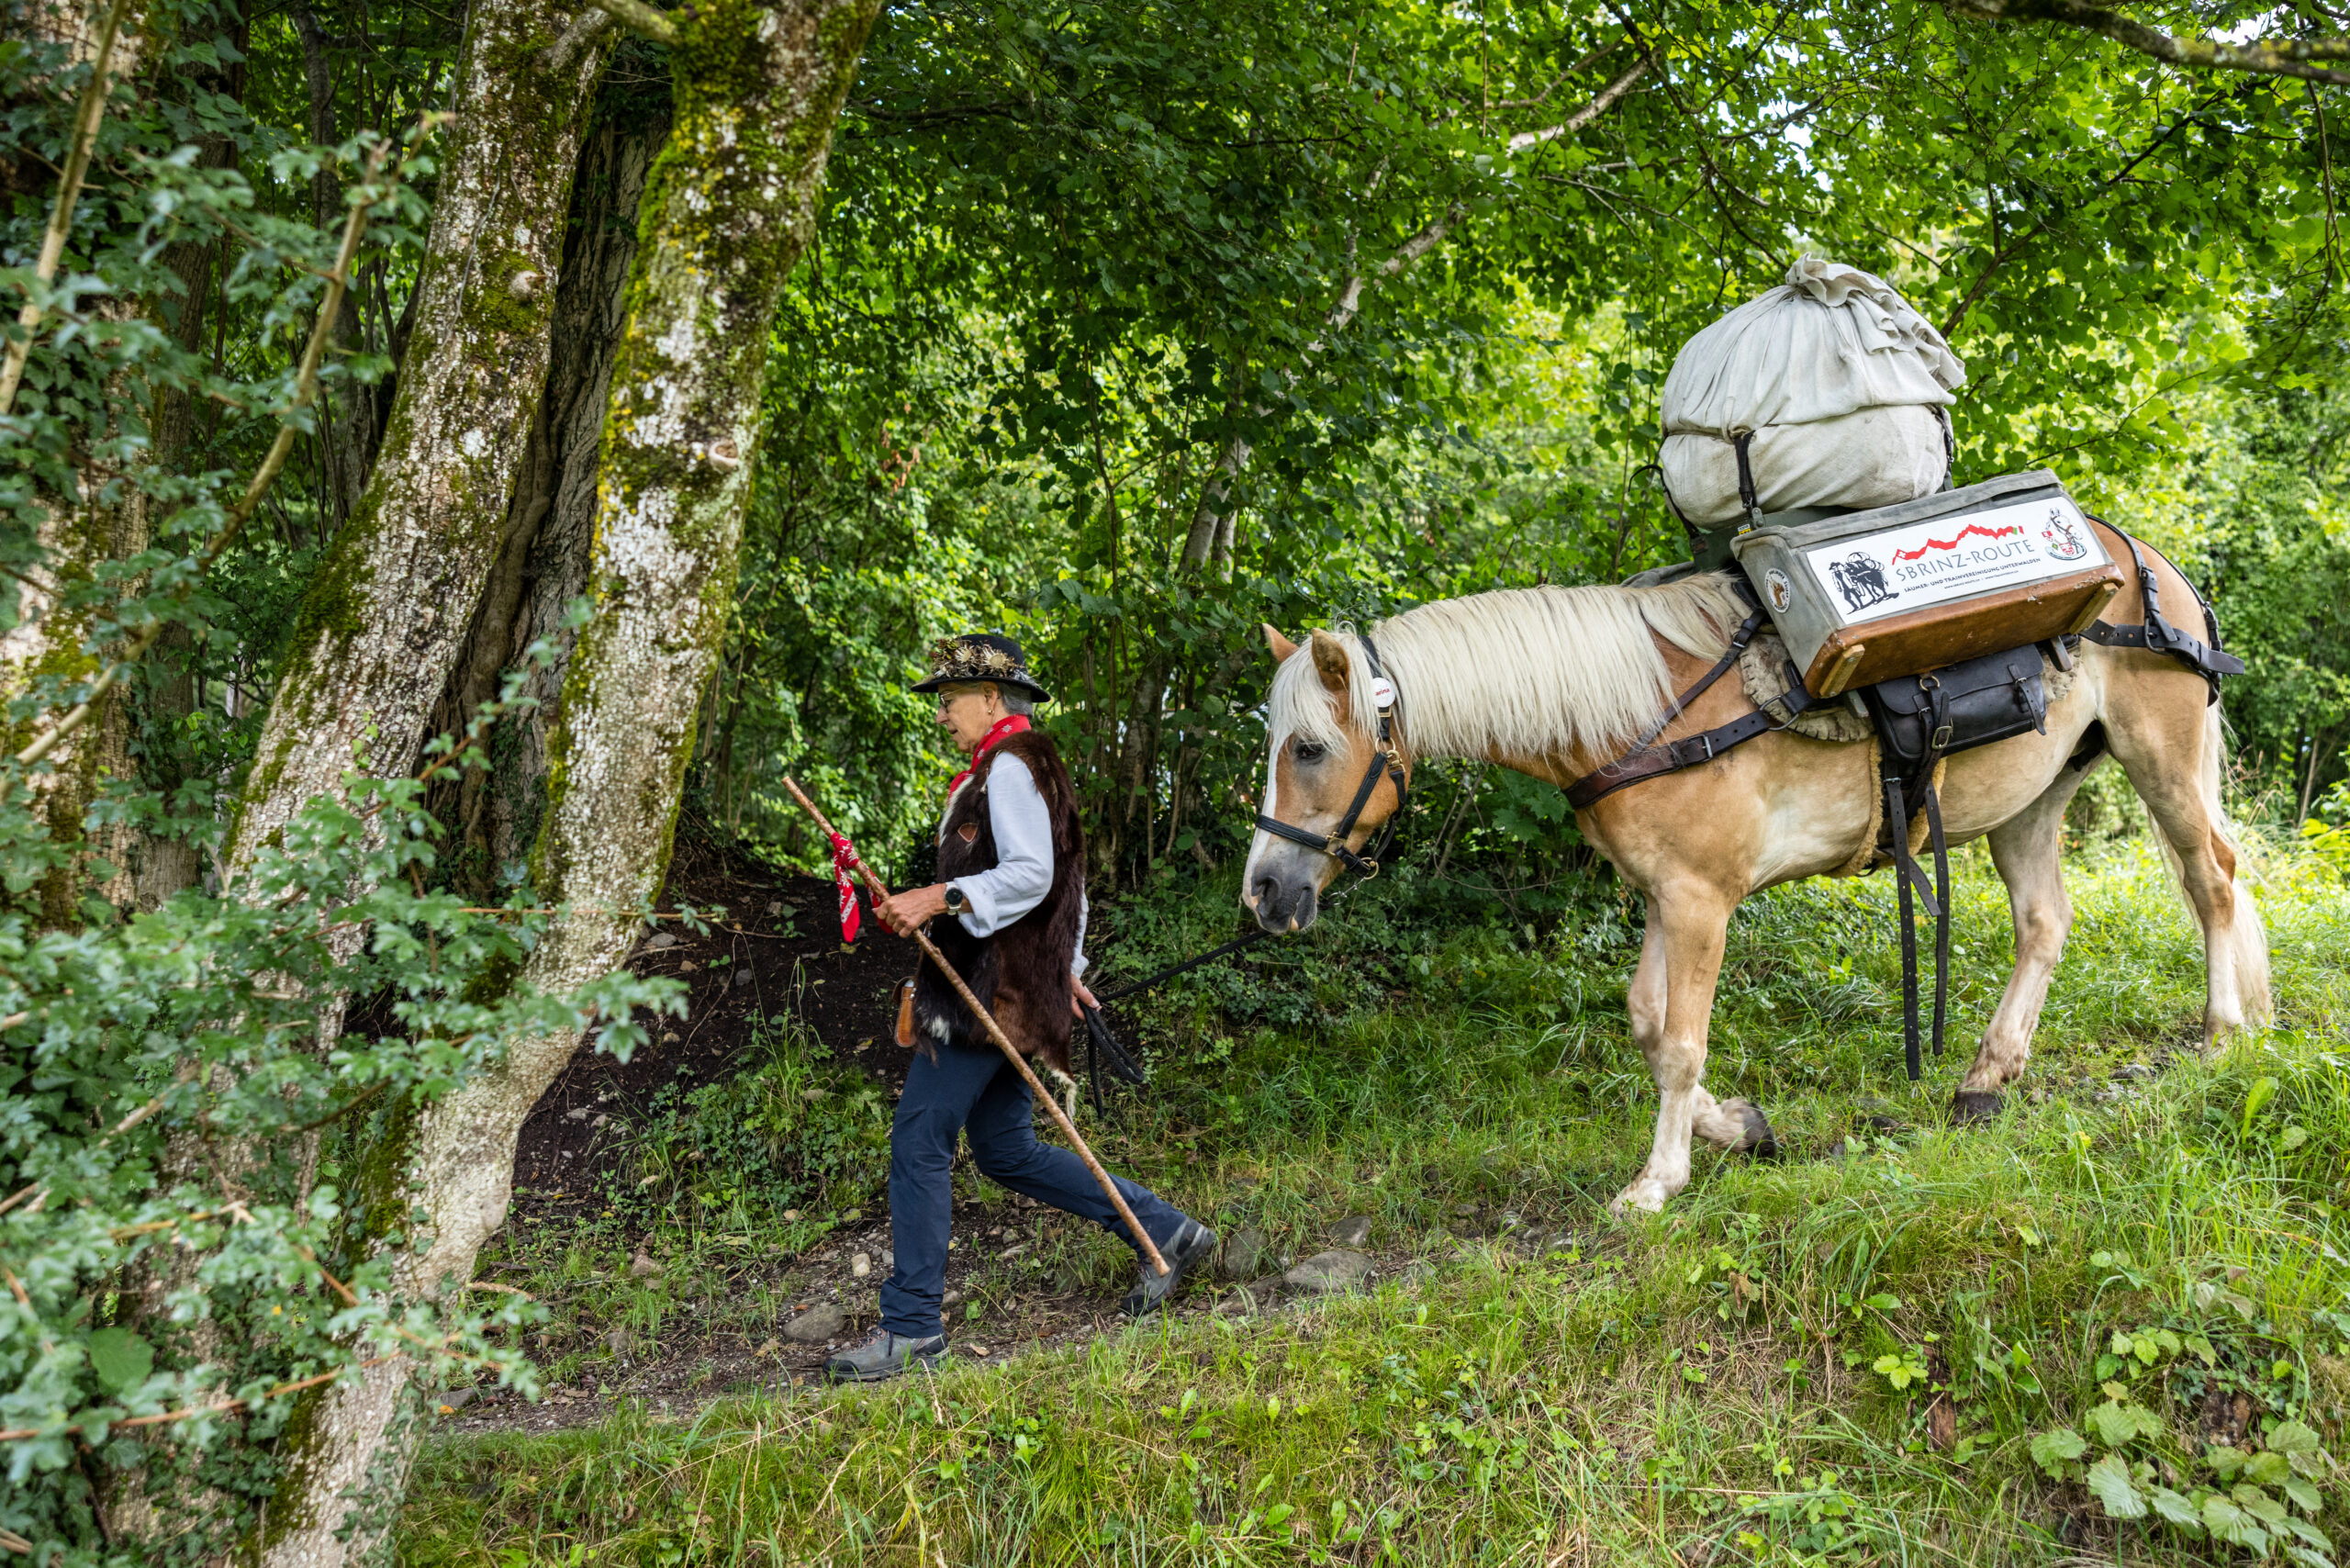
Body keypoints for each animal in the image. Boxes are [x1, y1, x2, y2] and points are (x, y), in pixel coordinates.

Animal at [1249, 521, 2275, 1222]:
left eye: (1308, 747)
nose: (1264, 891)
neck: (1641, 710)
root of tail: (2153, 566)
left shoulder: (1702, 900)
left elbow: (1678, 1042)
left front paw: (1656, 1181)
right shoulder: (1664, 896)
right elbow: (1647, 1020)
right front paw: (1737, 1125)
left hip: (2161, 759)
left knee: (2213, 880)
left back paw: (2223, 1032)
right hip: (2031, 799)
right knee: (2045, 921)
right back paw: (1990, 1069)